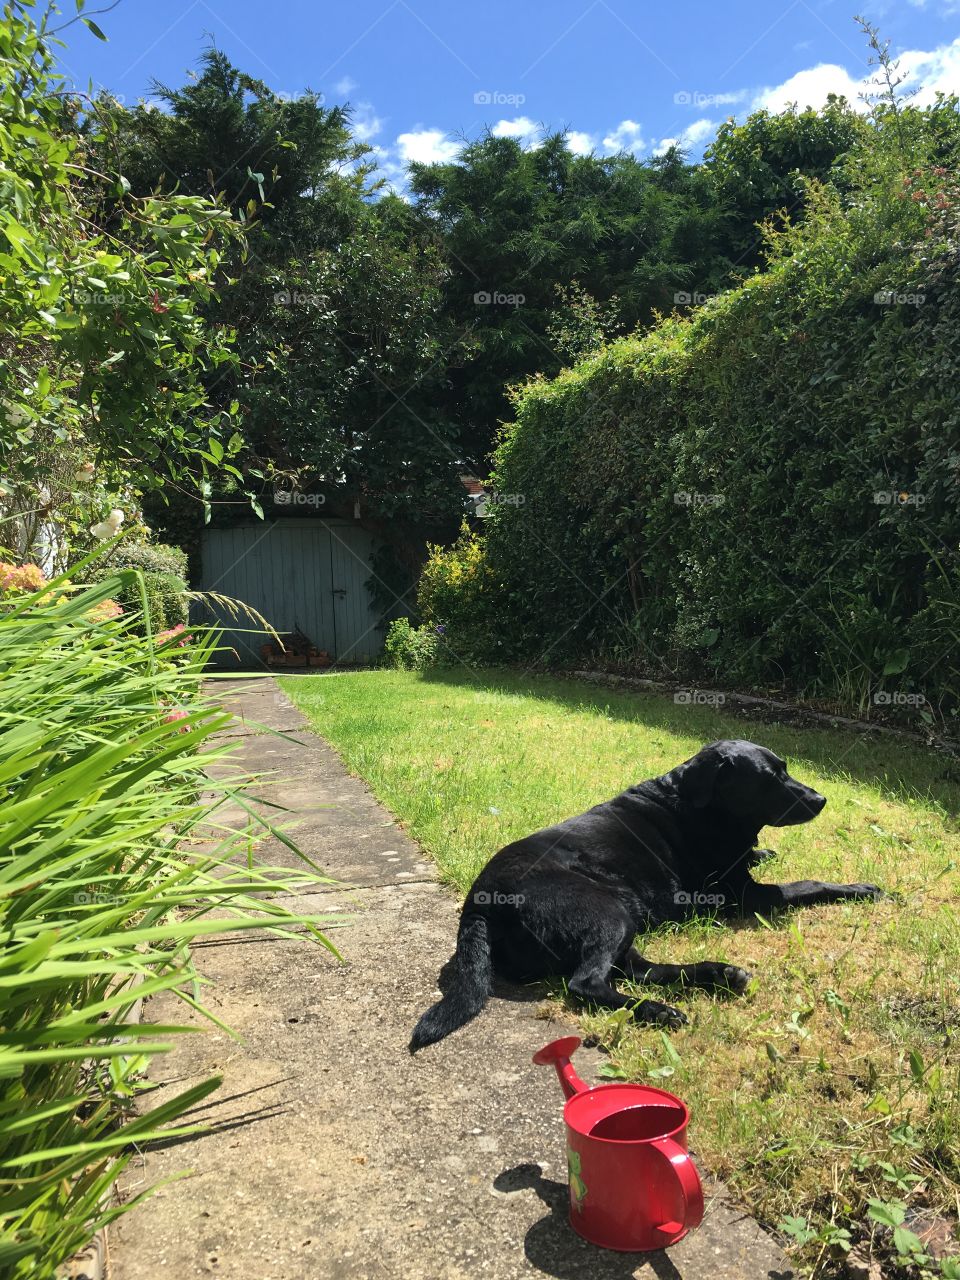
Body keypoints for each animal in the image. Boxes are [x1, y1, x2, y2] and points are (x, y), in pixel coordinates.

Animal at [409, 742, 885, 1049]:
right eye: (771, 778)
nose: (821, 799)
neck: (698, 805)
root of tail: (478, 906)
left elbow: (758, 855)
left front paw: (764, 851)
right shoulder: (745, 895)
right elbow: (806, 885)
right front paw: (861, 888)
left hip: (622, 916)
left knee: (637, 969)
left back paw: (719, 976)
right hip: (607, 911)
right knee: (588, 982)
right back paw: (660, 1010)